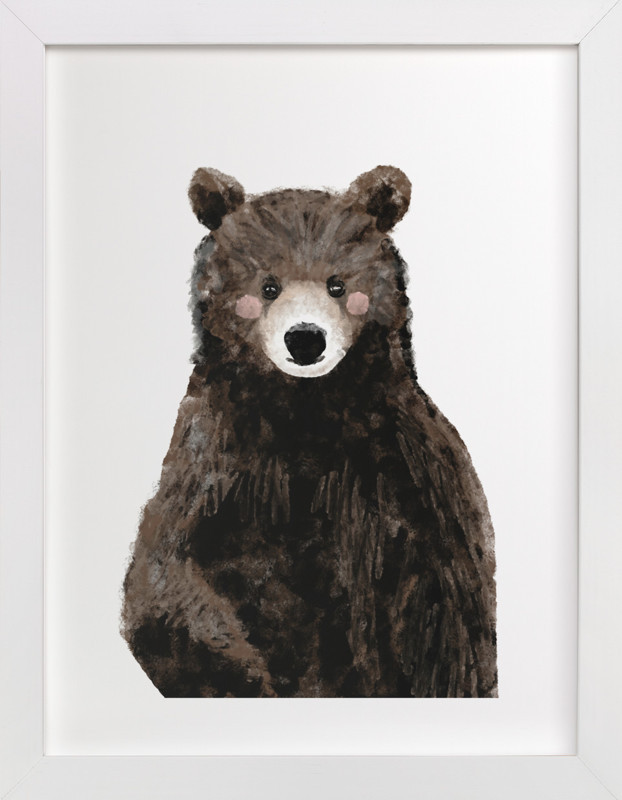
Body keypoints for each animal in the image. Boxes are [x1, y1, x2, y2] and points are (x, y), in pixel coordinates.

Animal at [121, 165, 498, 698]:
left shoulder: (407, 476)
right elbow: (166, 580)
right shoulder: (213, 459)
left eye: (337, 283)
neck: (304, 414)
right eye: (268, 285)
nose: (304, 339)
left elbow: (442, 622)